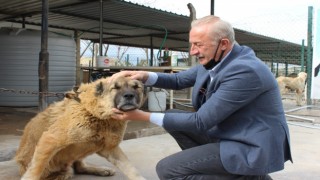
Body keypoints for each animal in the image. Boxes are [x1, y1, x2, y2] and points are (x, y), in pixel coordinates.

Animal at [14, 76, 146, 179]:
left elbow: (130, 168)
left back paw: (101, 170)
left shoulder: (110, 149)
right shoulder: (50, 139)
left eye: (136, 87)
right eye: (115, 88)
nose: (129, 95)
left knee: (80, 167)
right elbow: (36, 168)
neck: (97, 114)